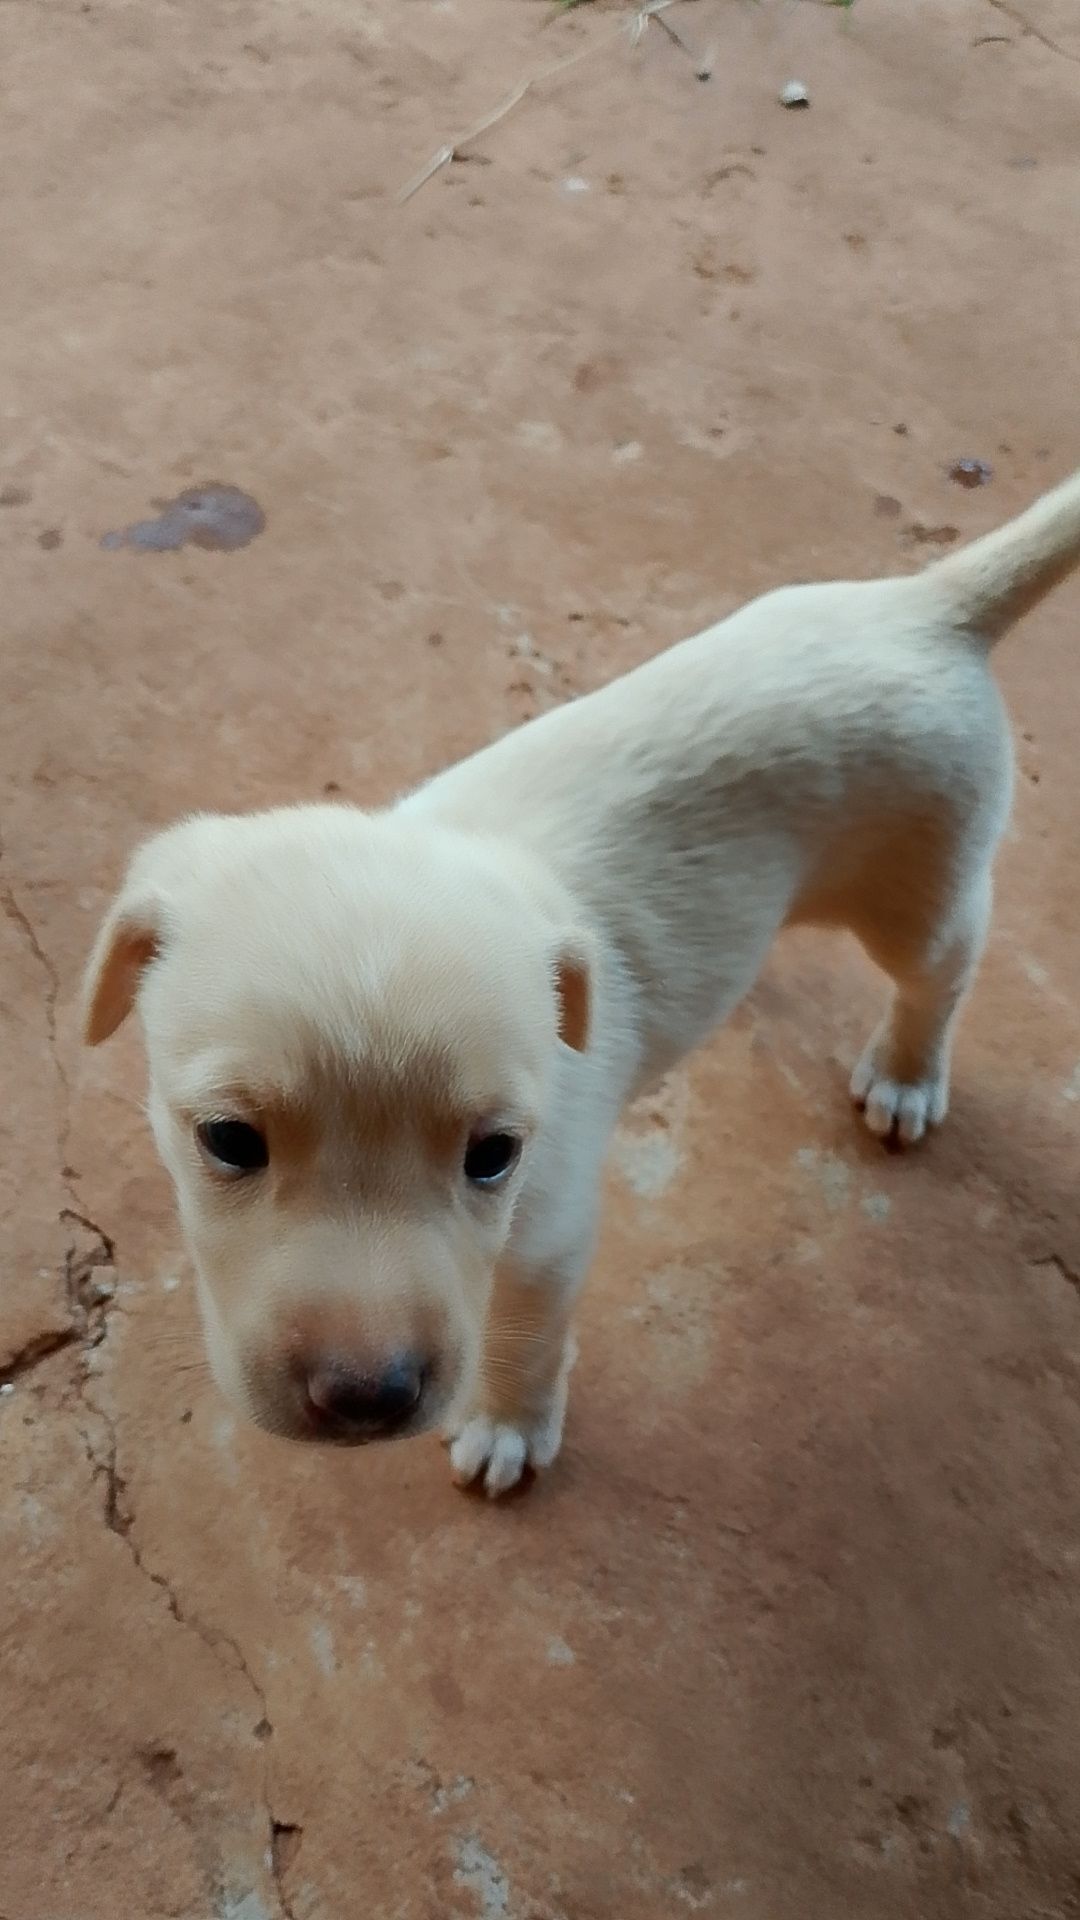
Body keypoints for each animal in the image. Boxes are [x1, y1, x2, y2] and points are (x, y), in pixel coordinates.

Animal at [83, 468, 1080, 1495]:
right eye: (228, 1140)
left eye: (494, 1156)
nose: (366, 1398)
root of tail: (926, 608)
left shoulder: (551, 1232)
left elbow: (525, 1337)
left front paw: (507, 1428)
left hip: (923, 885)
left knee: (943, 973)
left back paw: (907, 1075)